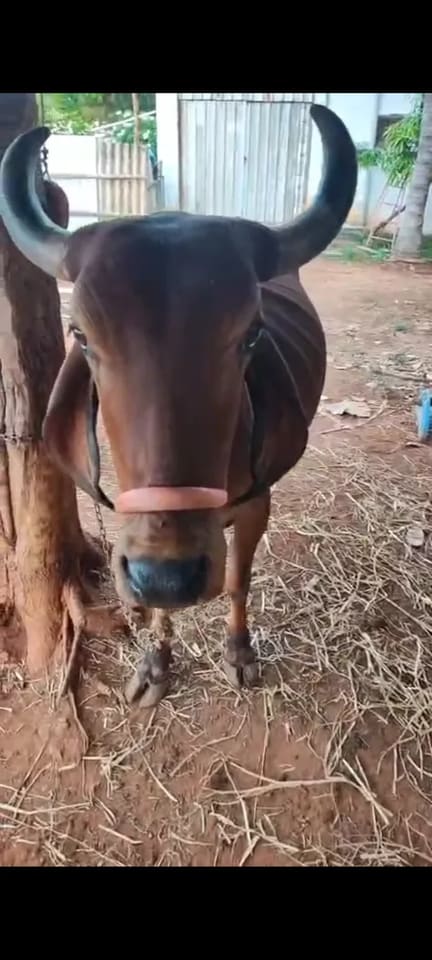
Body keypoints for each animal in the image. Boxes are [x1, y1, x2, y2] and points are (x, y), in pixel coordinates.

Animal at [0, 104, 357, 706]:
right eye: (82, 335)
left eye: (252, 333)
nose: (167, 575)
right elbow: (156, 614)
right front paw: (155, 663)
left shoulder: (257, 505)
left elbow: (238, 580)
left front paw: (239, 653)